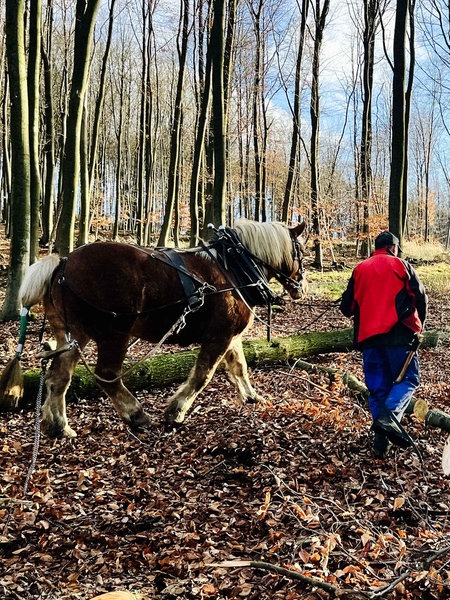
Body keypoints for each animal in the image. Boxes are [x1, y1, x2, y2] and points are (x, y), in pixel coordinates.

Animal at [22, 219, 310, 436]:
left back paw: (59, 426)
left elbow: (240, 366)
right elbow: (203, 375)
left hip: (73, 335)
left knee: (58, 376)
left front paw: (251, 396)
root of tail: (63, 264)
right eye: (301, 251)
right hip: (114, 334)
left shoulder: (231, 336)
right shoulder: (219, 335)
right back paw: (136, 414)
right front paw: (176, 411)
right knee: (106, 375)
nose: (302, 286)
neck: (234, 268)